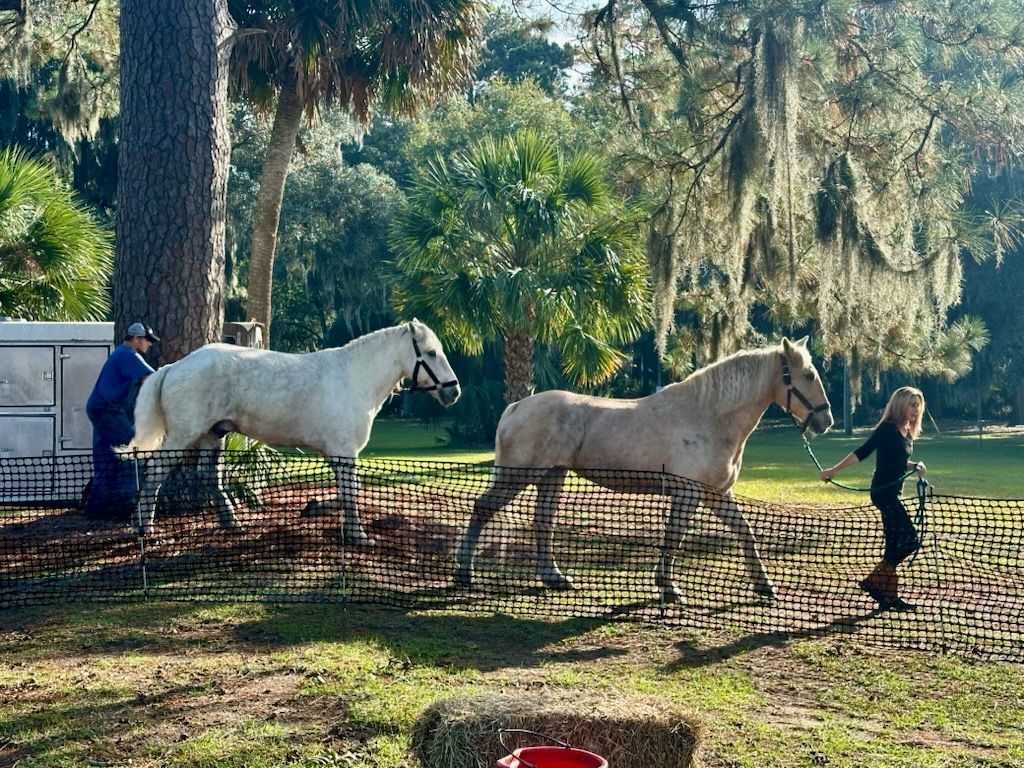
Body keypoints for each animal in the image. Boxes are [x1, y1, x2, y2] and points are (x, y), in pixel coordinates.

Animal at [118, 320, 460, 539]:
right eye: (431, 353)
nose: (453, 391)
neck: (354, 377)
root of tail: (175, 367)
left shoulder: (338, 456)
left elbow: (347, 492)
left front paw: (321, 510)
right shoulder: (345, 453)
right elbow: (351, 492)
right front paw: (357, 534)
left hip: (212, 435)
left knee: (208, 475)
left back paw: (231, 522)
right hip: (182, 435)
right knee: (155, 472)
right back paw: (142, 526)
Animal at [453, 336, 833, 601]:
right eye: (808, 375)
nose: (826, 420)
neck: (708, 416)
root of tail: (517, 406)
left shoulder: (716, 494)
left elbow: (745, 533)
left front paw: (764, 585)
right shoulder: (688, 493)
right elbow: (673, 538)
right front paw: (668, 588)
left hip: (552, 475)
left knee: (542, 522)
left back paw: (554, 578)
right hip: (520, 475)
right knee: (483, 508)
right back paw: (464, 573)